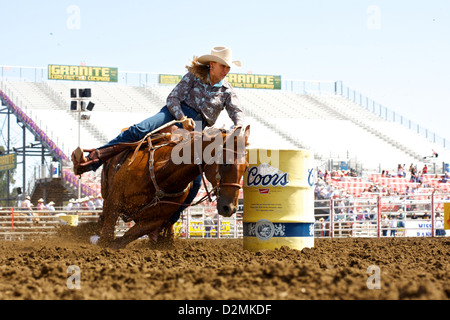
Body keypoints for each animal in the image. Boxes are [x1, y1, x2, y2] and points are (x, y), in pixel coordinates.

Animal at [92, 125, 248, 250]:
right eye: (226, 163)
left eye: (246, 167)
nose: (230, 208)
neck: (161, 174)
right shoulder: (114, 200)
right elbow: (107, 235)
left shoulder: (155, 220)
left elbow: (123, 240)